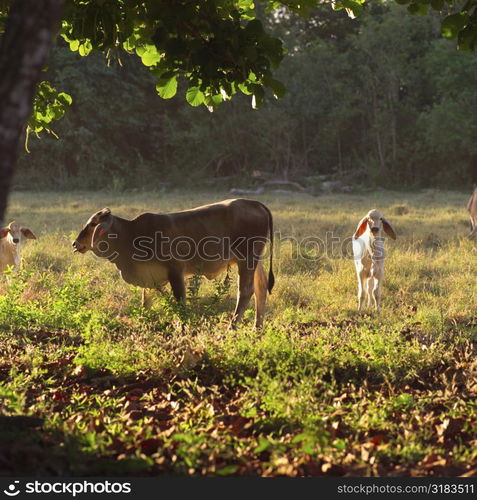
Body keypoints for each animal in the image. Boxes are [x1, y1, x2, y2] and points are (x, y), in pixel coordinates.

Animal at [69, 199, 272, 328]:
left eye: (93, 224)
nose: (75, 243)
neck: (131, 235)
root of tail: (255, 203)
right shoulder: (150, 277)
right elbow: (146, 303)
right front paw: (143, 324)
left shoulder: (175, 271)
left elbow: (180, 301)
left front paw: (182, 328)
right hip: (255, 260)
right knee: (260, 287)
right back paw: (257, 329)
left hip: (246, 258)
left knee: (245, 291)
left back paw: (232, 327)